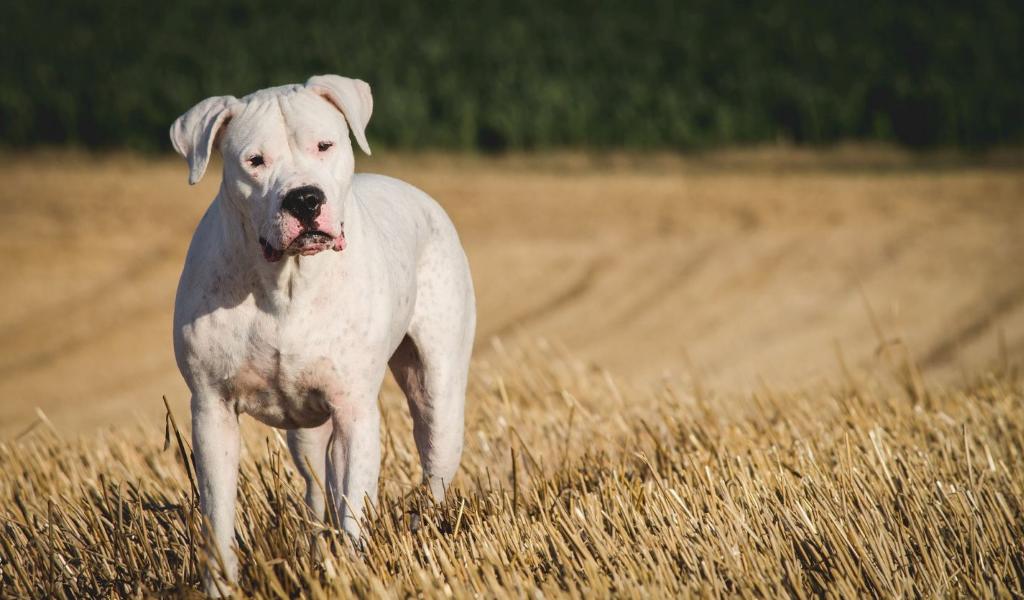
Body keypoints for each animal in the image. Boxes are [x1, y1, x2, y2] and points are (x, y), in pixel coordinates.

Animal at [171, 73, 475, 589]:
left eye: (324, 145)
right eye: (255, 161)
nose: (305, 198)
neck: (285, 282)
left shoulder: (354, 412)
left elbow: (354, 505)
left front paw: (354, 573)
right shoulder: (212, 410)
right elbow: (218, 514)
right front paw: (222, 583)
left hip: (439, 397)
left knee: (432, 466)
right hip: (307, 436)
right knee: (317, 489)